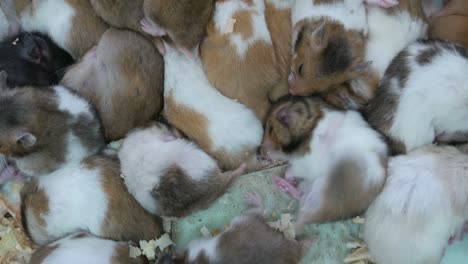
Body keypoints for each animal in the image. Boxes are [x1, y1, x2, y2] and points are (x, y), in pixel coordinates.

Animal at [159, 192, 312, 264]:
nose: (165, 254)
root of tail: (292, 248)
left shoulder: (193, 246)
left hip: (242, 219)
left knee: (261, 210)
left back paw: (252, 197)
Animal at [264, 96, 388, 231]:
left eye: (270, 129)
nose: (261, 151)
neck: (311, 127)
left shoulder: (306, 163)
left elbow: (293, 169)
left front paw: (287, 174)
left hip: (319, 187)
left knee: (303, 201)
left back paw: (279, 181)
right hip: (310, 185)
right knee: (300, 195)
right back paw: (279, 182)